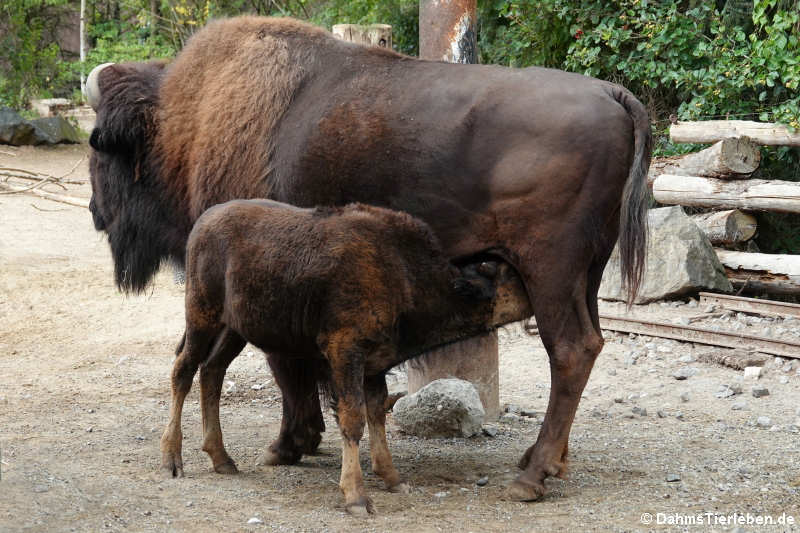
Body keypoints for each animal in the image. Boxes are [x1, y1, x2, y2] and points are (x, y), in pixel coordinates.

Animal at [162, 197, 510, 512]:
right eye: (501, 274)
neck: (402, 268)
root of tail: (205, 220)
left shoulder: (373, 366)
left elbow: (376, 413)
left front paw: (393, 480)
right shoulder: (346, 353)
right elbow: (353, 419)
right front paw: (356, 497)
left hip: (234, 330)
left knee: (212, 371)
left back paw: (222, 459)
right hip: (202, 316)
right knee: (184, 370)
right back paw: (173, 460)